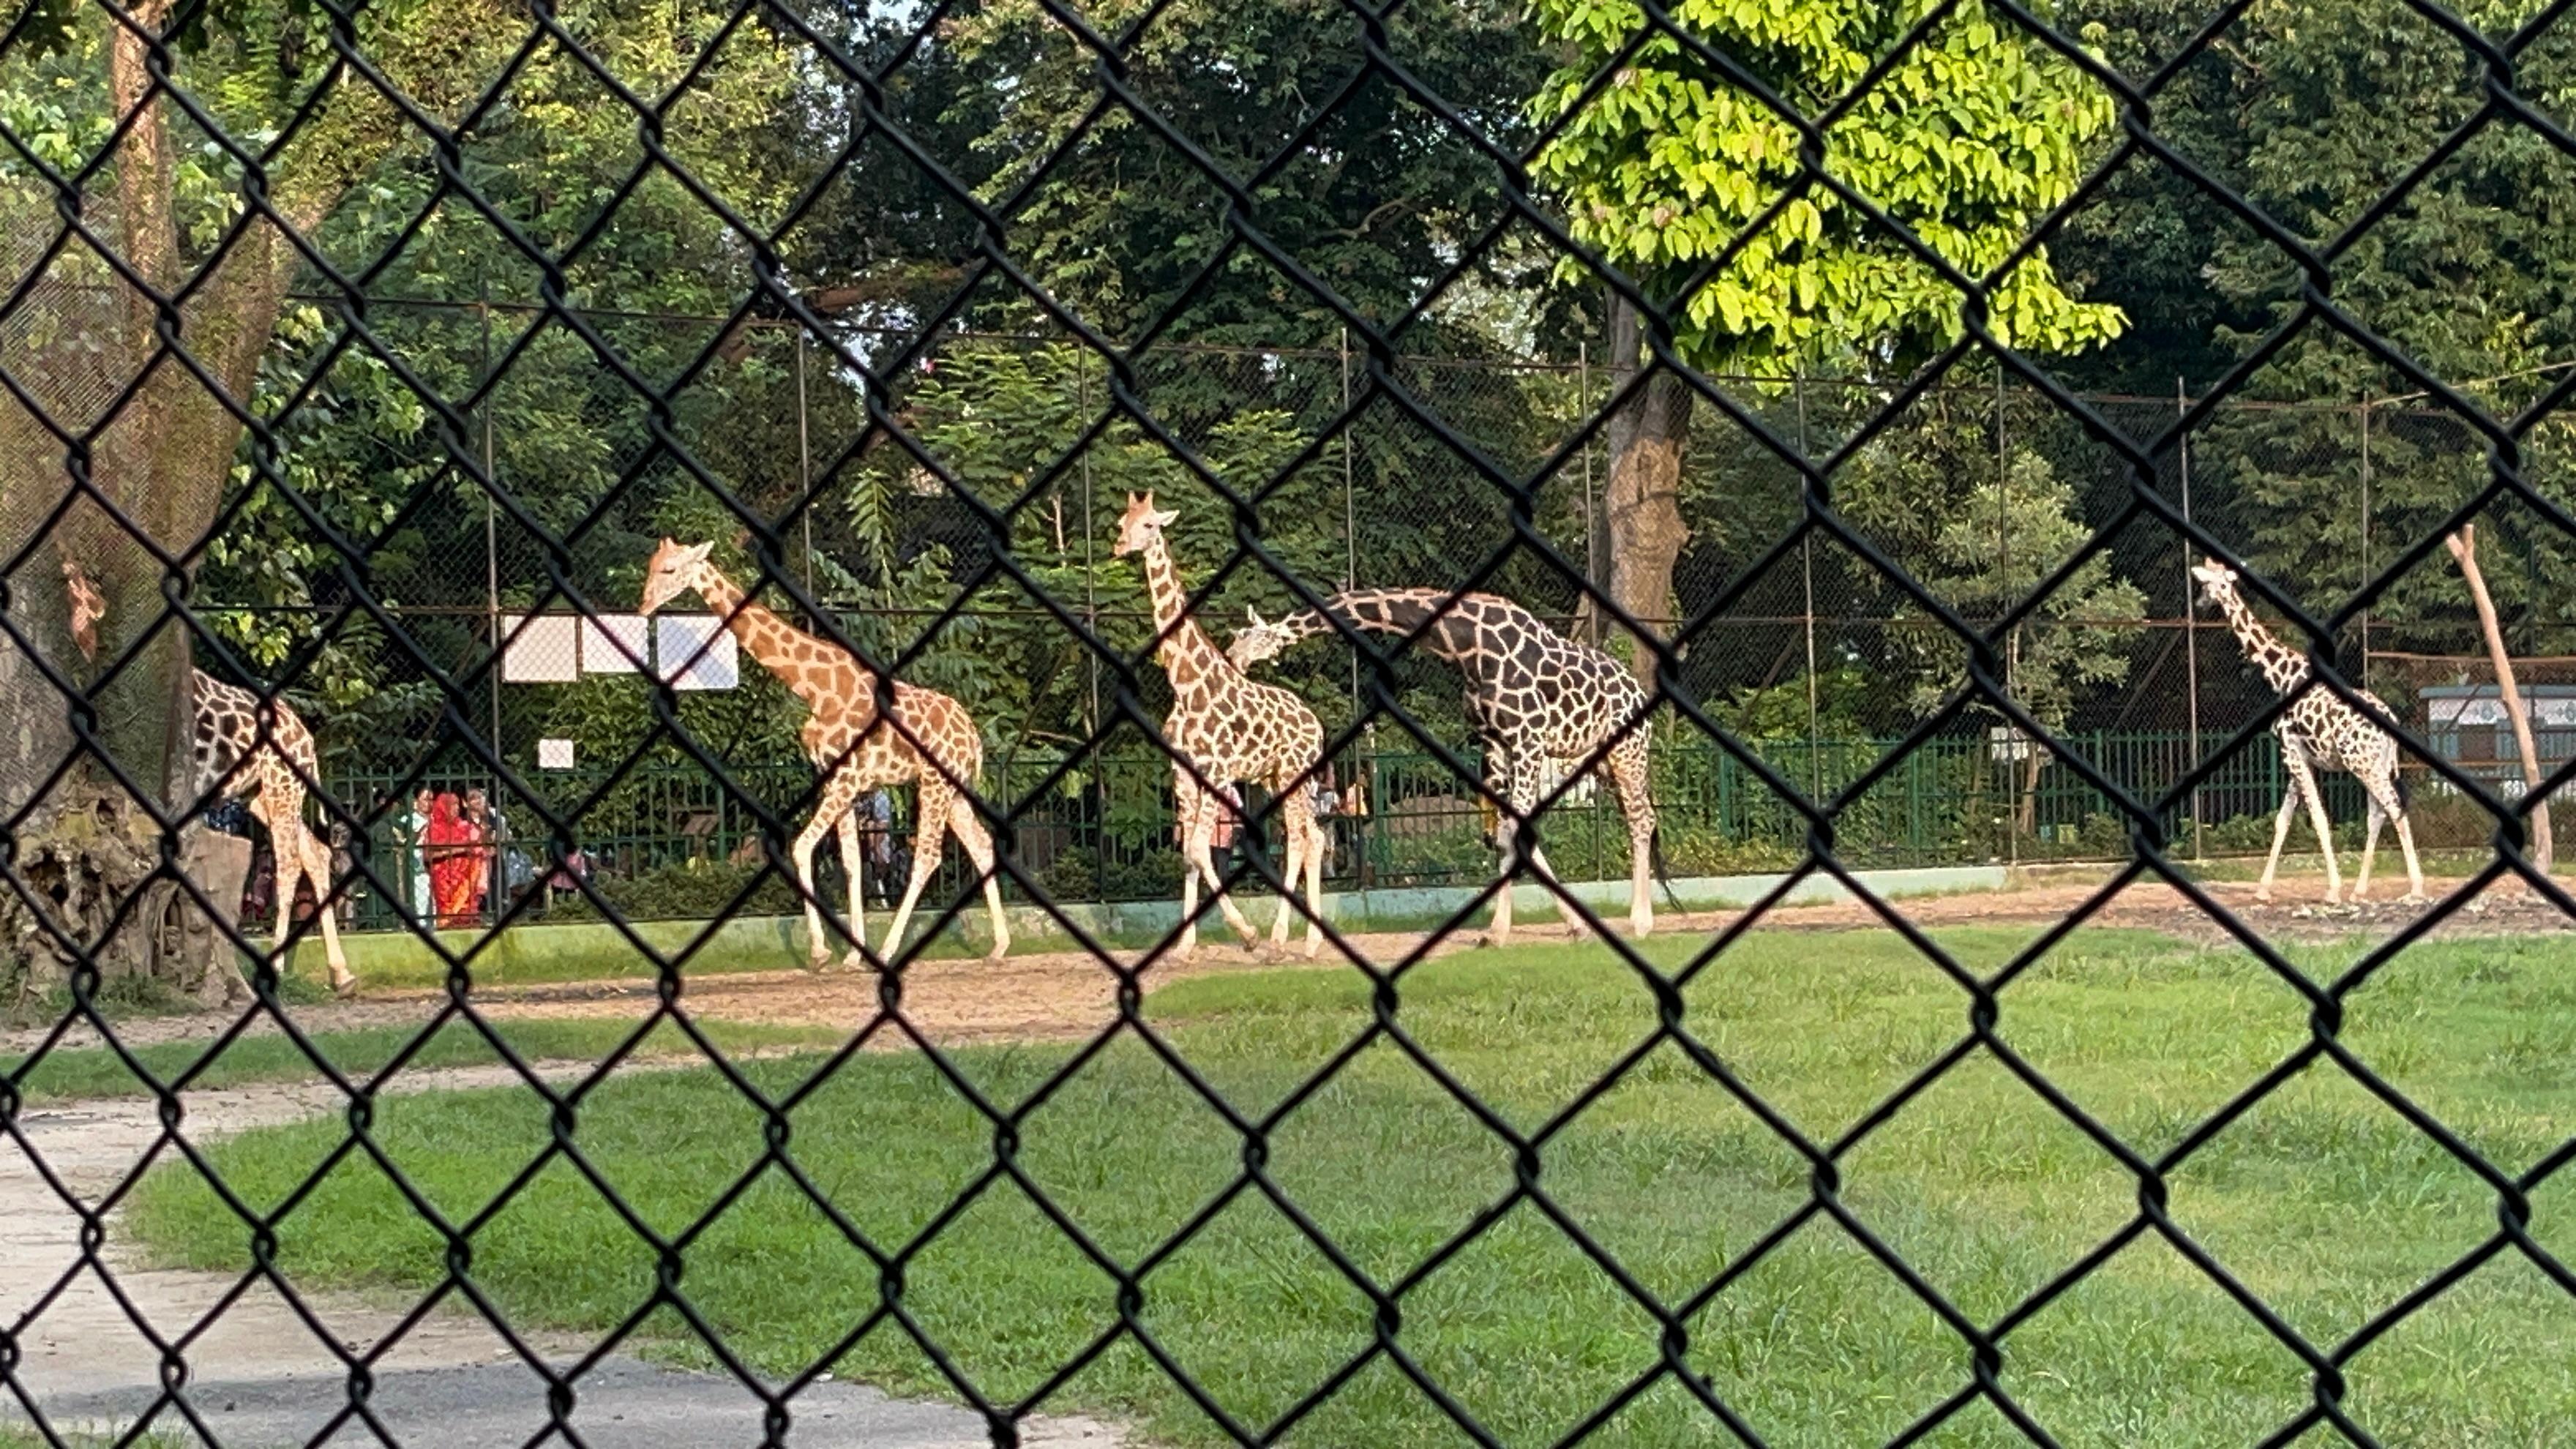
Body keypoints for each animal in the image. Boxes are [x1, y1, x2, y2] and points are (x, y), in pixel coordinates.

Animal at [59, 551, 358, 989]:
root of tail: (307, 741)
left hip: (282, 785)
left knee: (288, 863)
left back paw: (278, 965)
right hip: (261, 797)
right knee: (315, 853)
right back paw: (341, 973)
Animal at [638, 539, 1009, 959]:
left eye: (670, 570)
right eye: (651, 566)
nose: (644, 606)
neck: (815, 689)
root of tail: (973, 736)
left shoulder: (847, 779)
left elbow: (802, 848)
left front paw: (821, 951)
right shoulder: (835, 778)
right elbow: (851, 863)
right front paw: (852, 954)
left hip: (934, 782)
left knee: (927, 857)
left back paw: (890, 949)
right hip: (953, 787)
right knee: (981, 845)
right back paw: (999, 946)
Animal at [1107, 490, 1329, 954]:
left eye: (1150, 524)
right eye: (1122, 521)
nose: (1120, 547)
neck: (1186, 688)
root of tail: (1315, 723)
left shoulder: (1216, 771)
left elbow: (1197, 849)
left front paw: (1247, 933)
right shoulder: (1182, 774)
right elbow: (1190, 857)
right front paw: (1185, 944)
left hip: (1296, 772)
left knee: (1304, 838)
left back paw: (1291, 937)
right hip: (1275, 778)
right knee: (1309, 837)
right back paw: (1304, 938)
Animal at [1231, 580, 1669, 943]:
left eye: (1254, 636)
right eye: (1236, 637)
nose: (1234, 659)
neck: (1465, 644)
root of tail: (1638, 692)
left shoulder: (1527, 738)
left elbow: (1514, 831)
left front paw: (1501, 929)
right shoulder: (1495, 743)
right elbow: (1502, 833)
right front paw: (1533, 928)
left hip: (1627, 751)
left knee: (1642, 818)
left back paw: (1641, 922)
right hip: (1596, 761)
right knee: (1640, 815)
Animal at [2184, 559, 2421, 897]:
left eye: (2208, 584)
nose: (2201, 604)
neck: (2281, 676)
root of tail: (2391, 722)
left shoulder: (2290, 751)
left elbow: (2318, 817)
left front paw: (2332, 889)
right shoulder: (2300, 756)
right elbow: (2283, 820)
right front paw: (2263, 889)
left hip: (2361, 762)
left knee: (2393, 807)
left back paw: (2415, 888)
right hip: (2377, 763)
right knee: (2378, 813)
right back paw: (2360, 889)